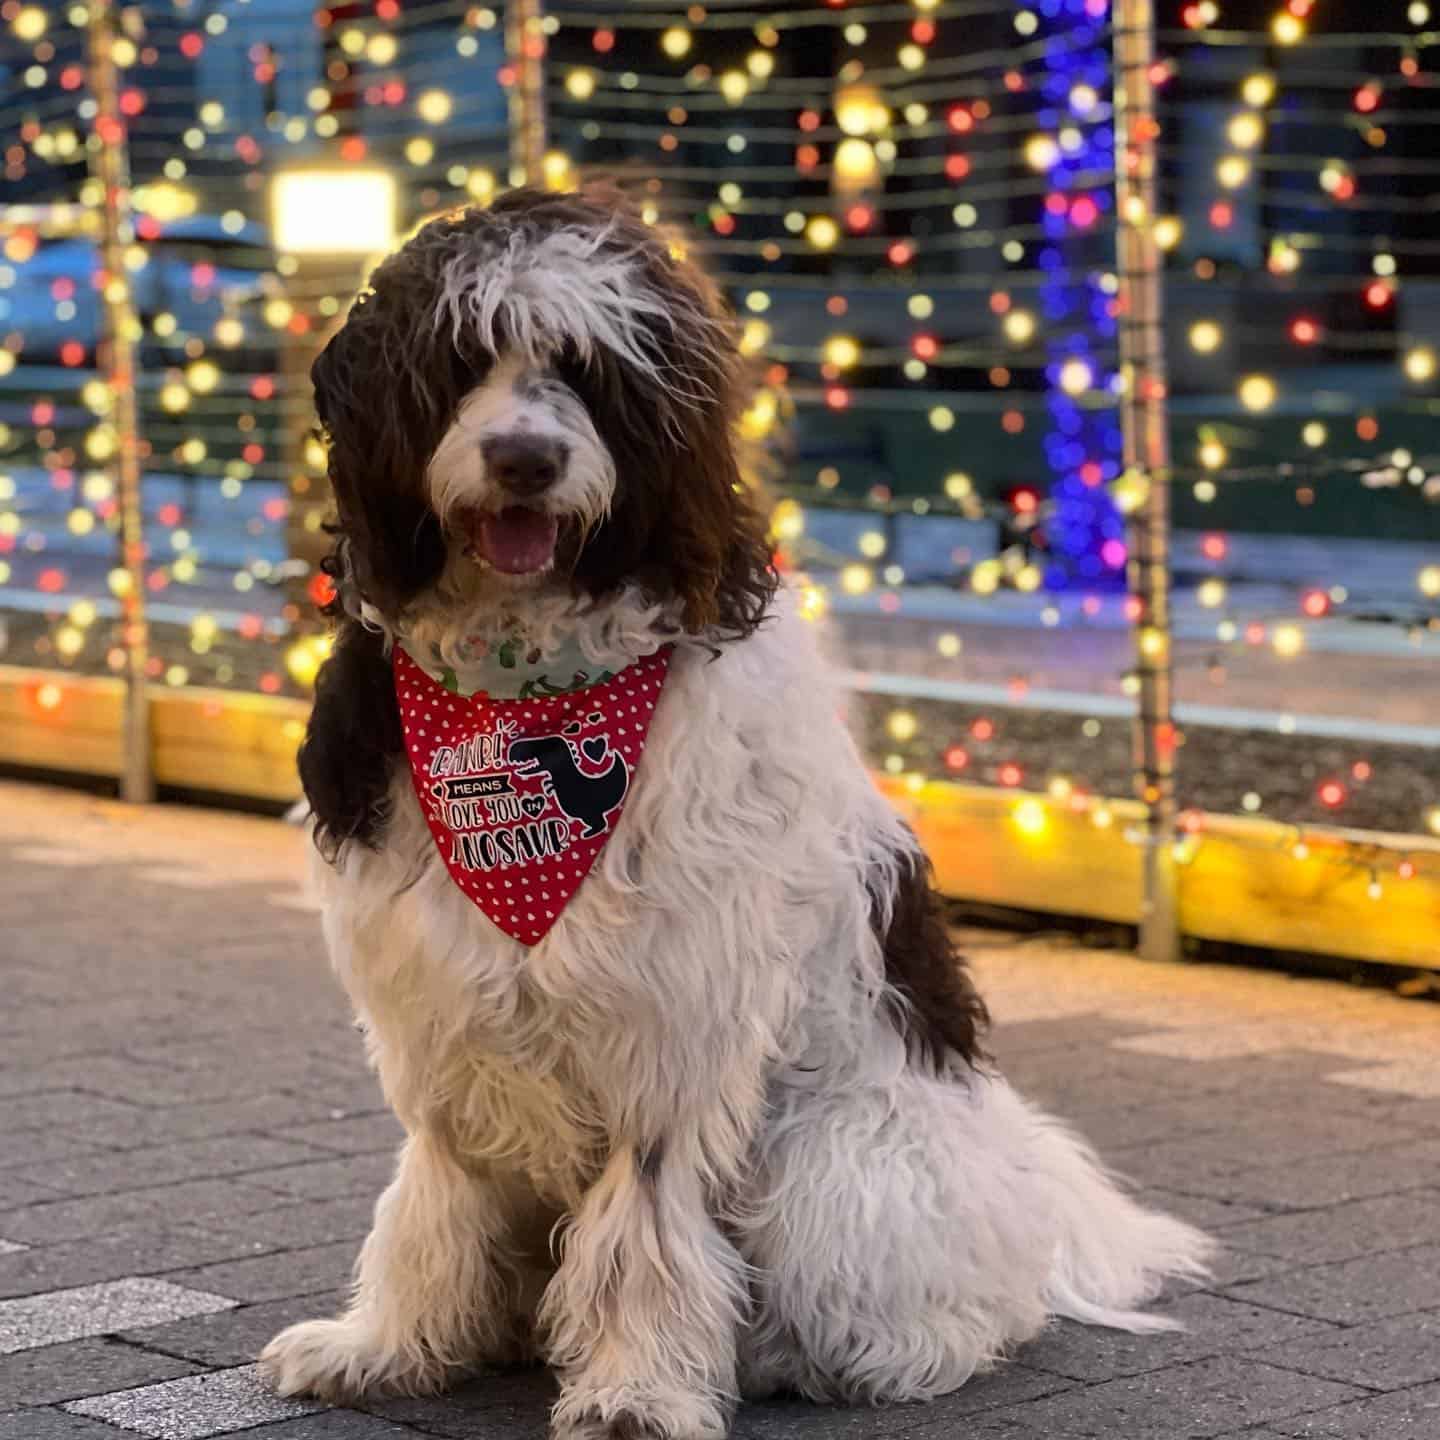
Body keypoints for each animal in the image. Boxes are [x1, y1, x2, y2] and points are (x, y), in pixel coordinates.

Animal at [262, 185, 1215, 1434]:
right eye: (459, 359)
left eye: (590, 369)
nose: (524, 458)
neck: (526, 705)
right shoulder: (438, 1010)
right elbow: (439, 1192)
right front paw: (394, 1342)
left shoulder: (674, 1014)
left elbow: (646, 1222)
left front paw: (637, 1386)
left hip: (838, 1175)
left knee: (945, 1314)